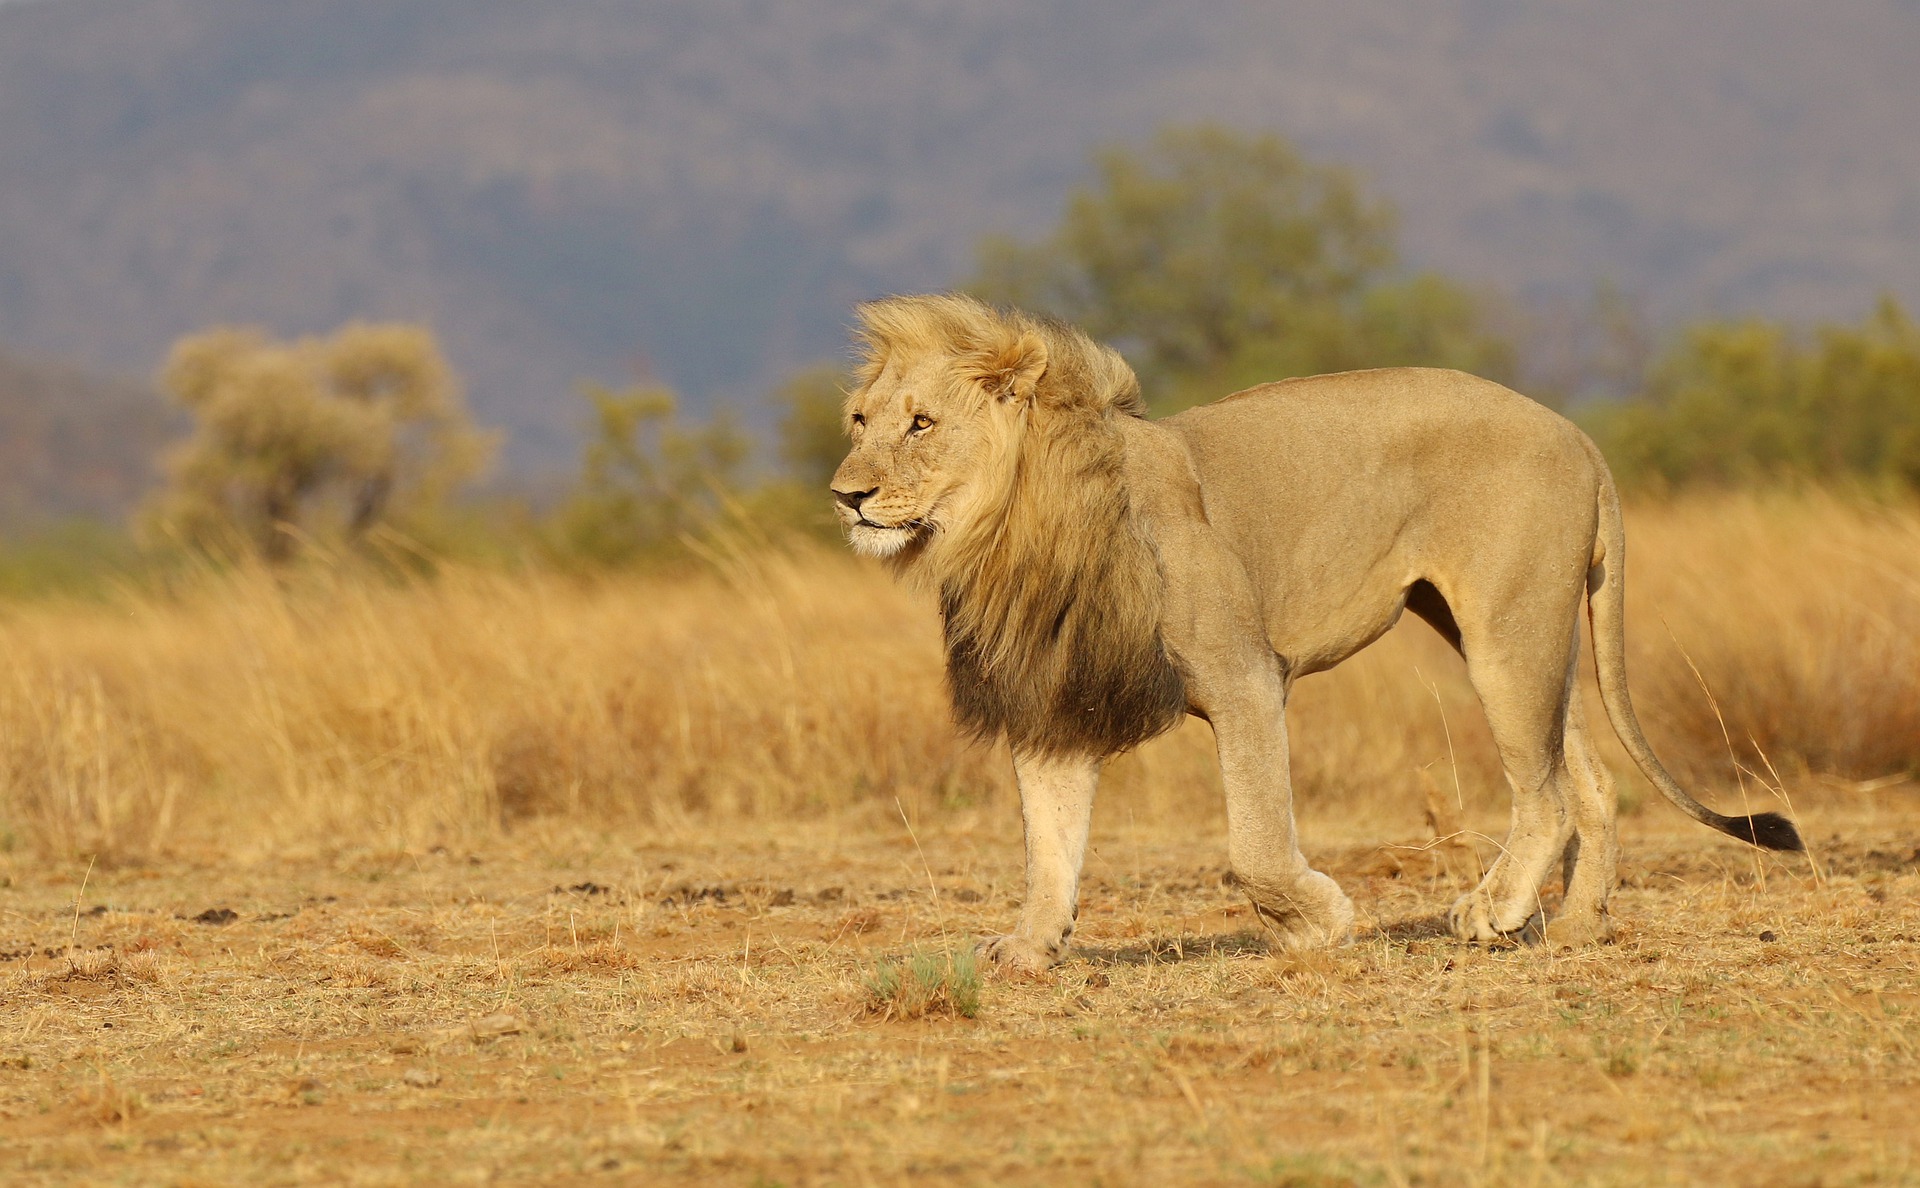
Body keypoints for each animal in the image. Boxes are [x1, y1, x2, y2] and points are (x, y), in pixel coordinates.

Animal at [830, 293, 1802, 971]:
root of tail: (1578, 435)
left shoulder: (1244, 677)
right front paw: (1029, 947)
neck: (1011, 538)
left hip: (1506, 629)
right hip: (1518, 632)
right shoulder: (1055, 698)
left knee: (1550, 792)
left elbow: (1255, 843)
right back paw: (1576, 924)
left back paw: (1492, 910)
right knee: (1590, 779)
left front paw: (1316, 923)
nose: (846, 494)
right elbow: (1049, 846)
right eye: (860, 420)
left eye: (922, 423)